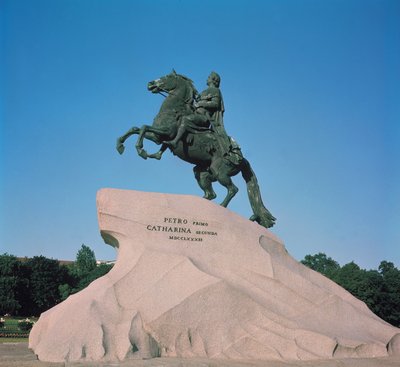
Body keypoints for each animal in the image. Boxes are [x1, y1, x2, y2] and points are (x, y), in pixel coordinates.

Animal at [115, 70, 276, 229]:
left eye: (167, 77)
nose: (150, 84)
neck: (174, 109)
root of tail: (242, 159)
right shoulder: (156, 137)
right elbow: (136, 128)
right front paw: (120, 145)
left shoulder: (164, 133)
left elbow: (143, 127)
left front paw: (141, 150)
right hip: (203, 173)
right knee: (210, 193)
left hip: (220, 172)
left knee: (232, 189)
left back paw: (222, 206)